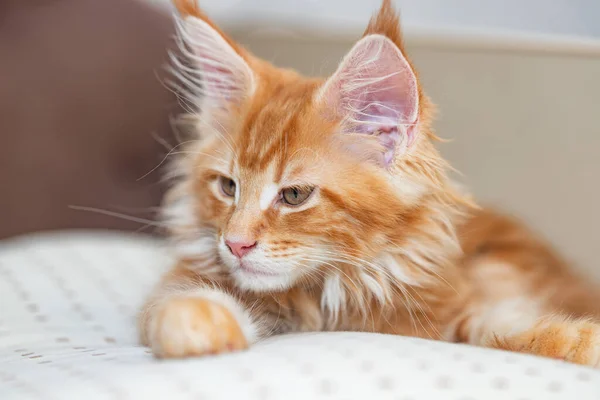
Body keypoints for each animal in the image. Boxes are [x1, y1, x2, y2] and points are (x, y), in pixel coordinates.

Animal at [139, 0, 600, 366]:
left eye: (294, 195)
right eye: (228, 187)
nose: (235, 244)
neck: (333, 295)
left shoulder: (451, 304)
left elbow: (507, 326)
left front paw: (580, 341)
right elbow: (177, 298)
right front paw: (196, 323)